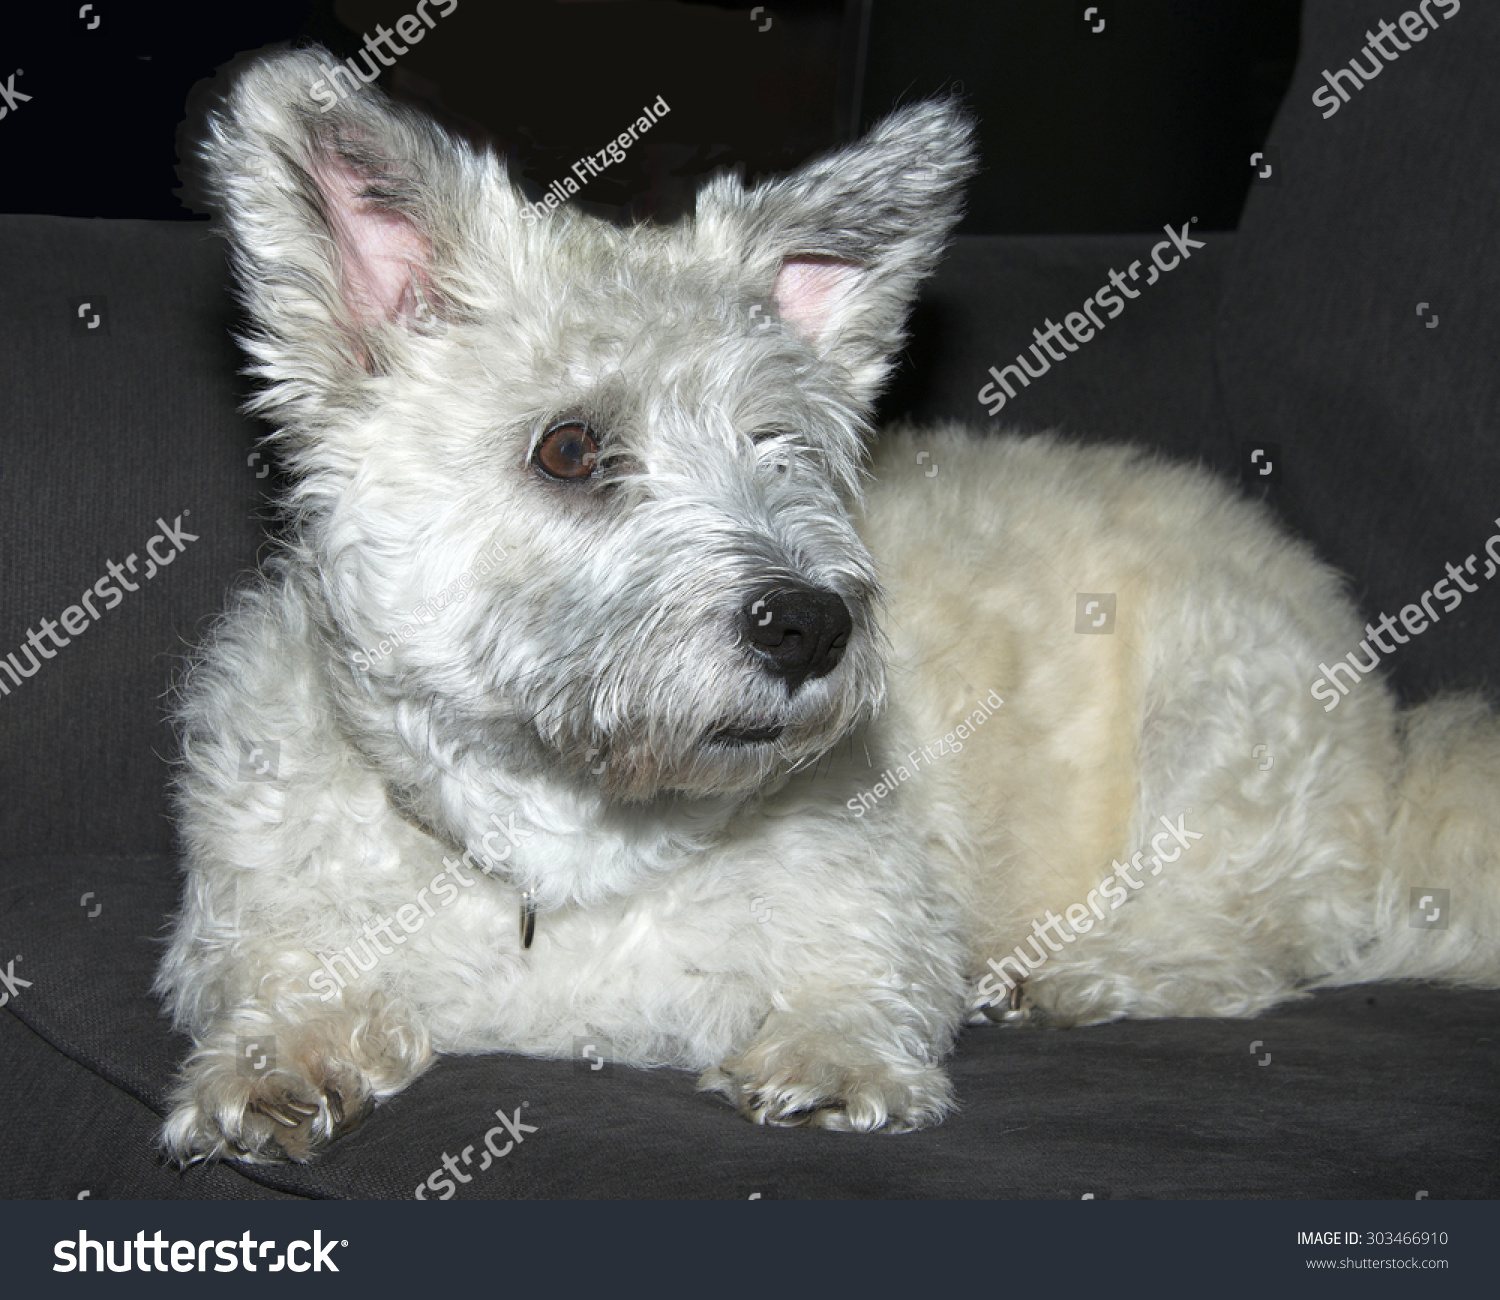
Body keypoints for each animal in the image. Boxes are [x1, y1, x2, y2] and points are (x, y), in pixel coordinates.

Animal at [155, 48, 1500, 1169]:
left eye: (784, 443)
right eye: (571, 447)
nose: (810, 625)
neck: (568, 836)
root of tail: (1394, 742)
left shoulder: (877, 913)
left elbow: (857, 985)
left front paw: (831, 1058)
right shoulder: (263, 925)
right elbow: (282, 989)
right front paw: (269, 1070)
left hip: (1216, 736)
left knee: (1263, 942)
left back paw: (1093, 971)